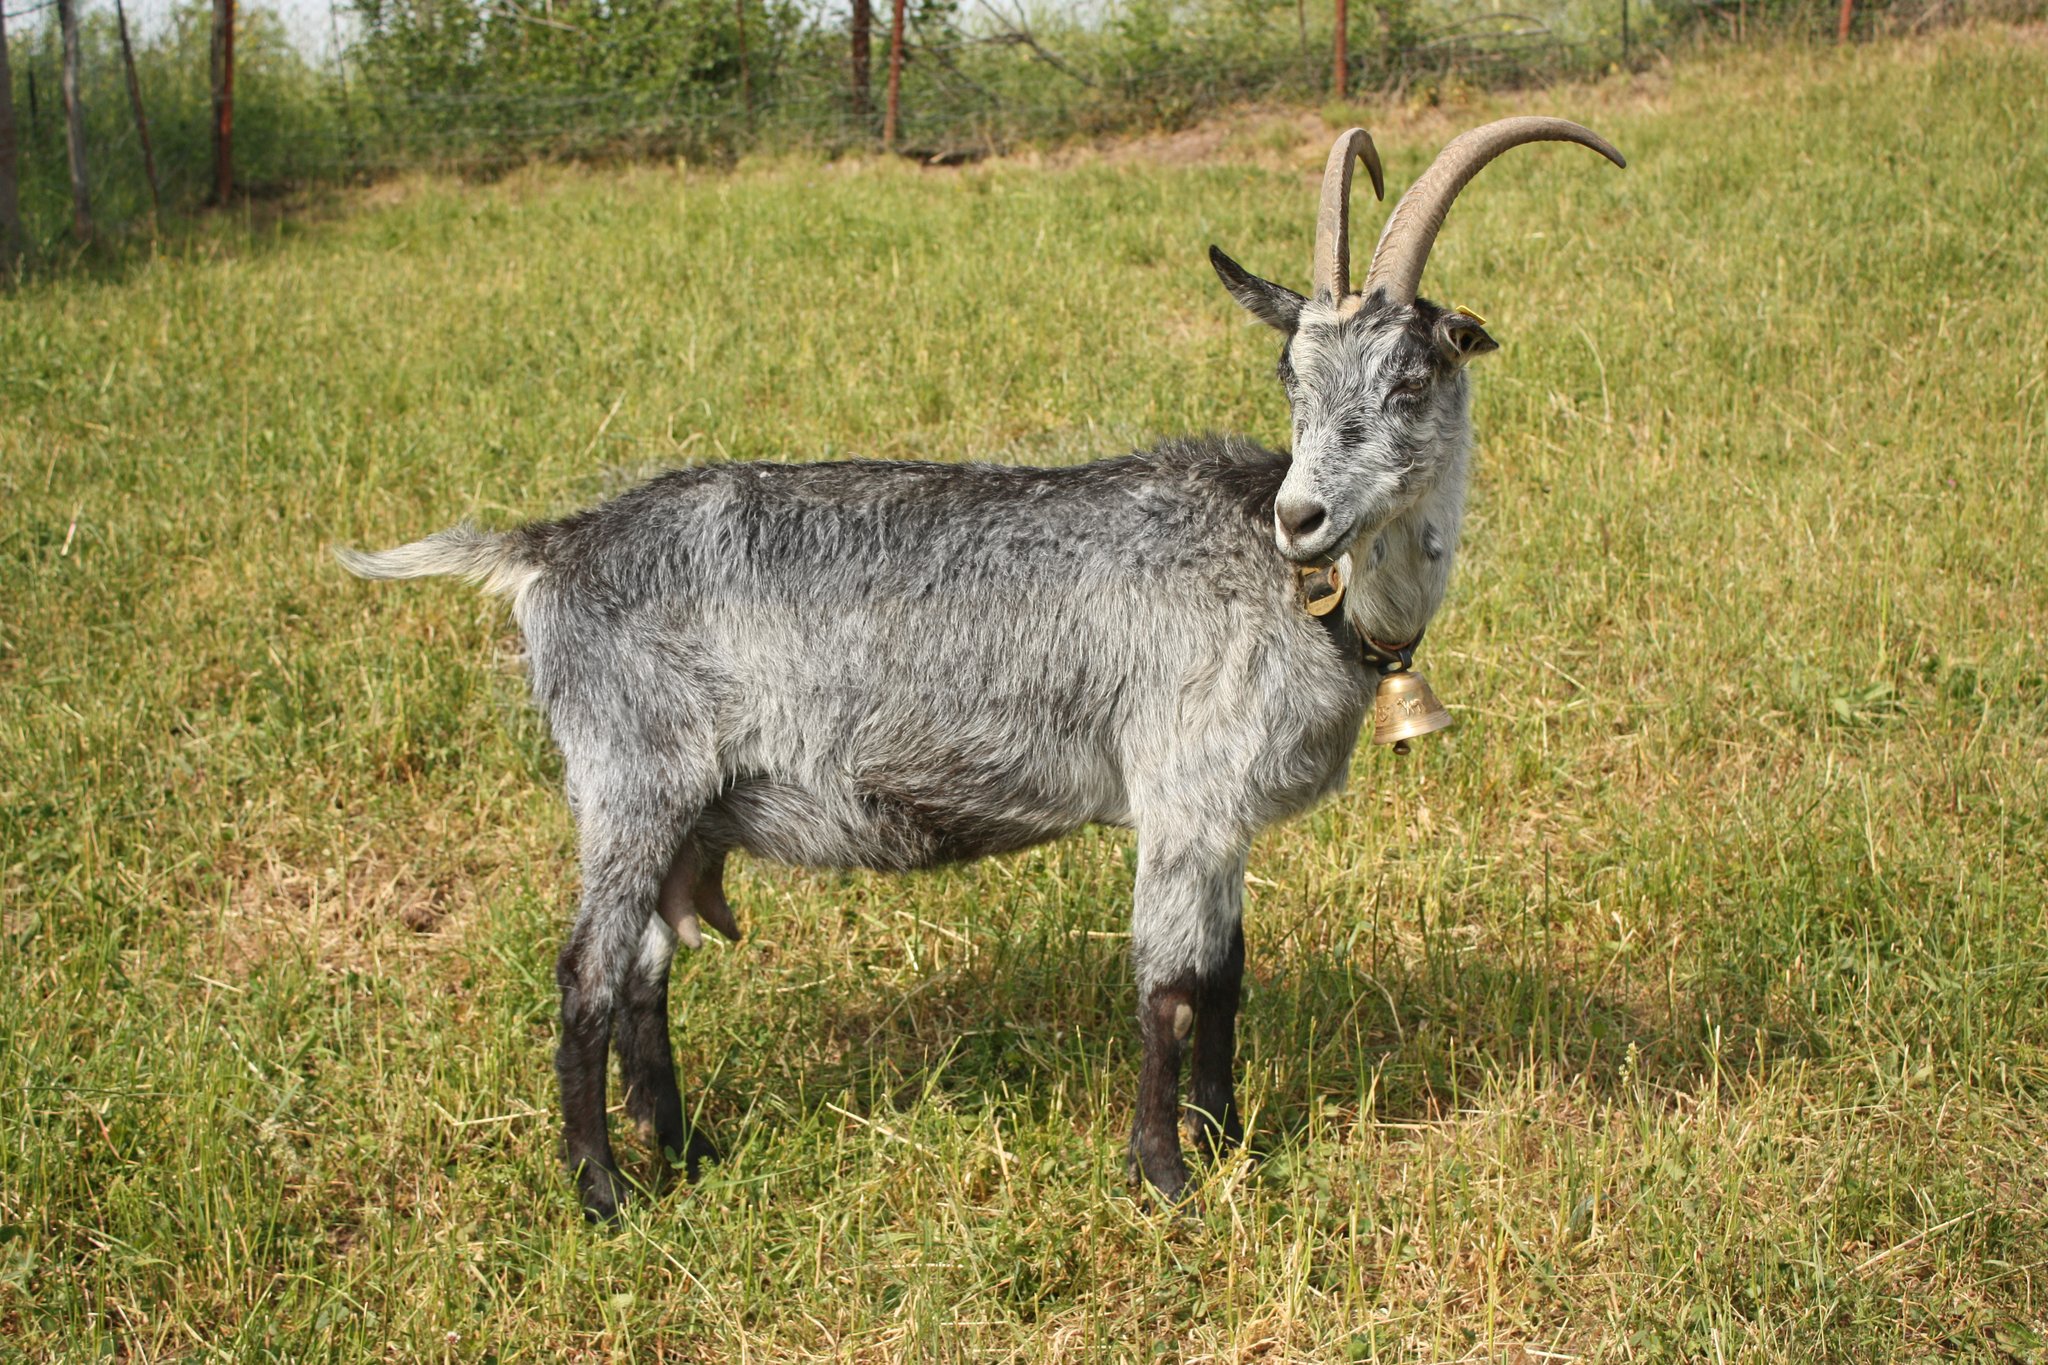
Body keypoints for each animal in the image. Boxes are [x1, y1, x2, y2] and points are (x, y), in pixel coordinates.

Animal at [339, 119, 1626, 1220]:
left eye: (1408, 381)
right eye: (1290, 380)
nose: (1301, 516)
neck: (1290, 592)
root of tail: (549, 547)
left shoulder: (1220, 819)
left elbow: (1225, 976)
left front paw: (1225, 1145)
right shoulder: (1182, 793)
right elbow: (1168, 987)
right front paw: (1163, 1180)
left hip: (681, 813)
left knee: (650, 971)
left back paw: (687, 1152)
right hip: (629, 782)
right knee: (588, 976)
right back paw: (605, 1195)